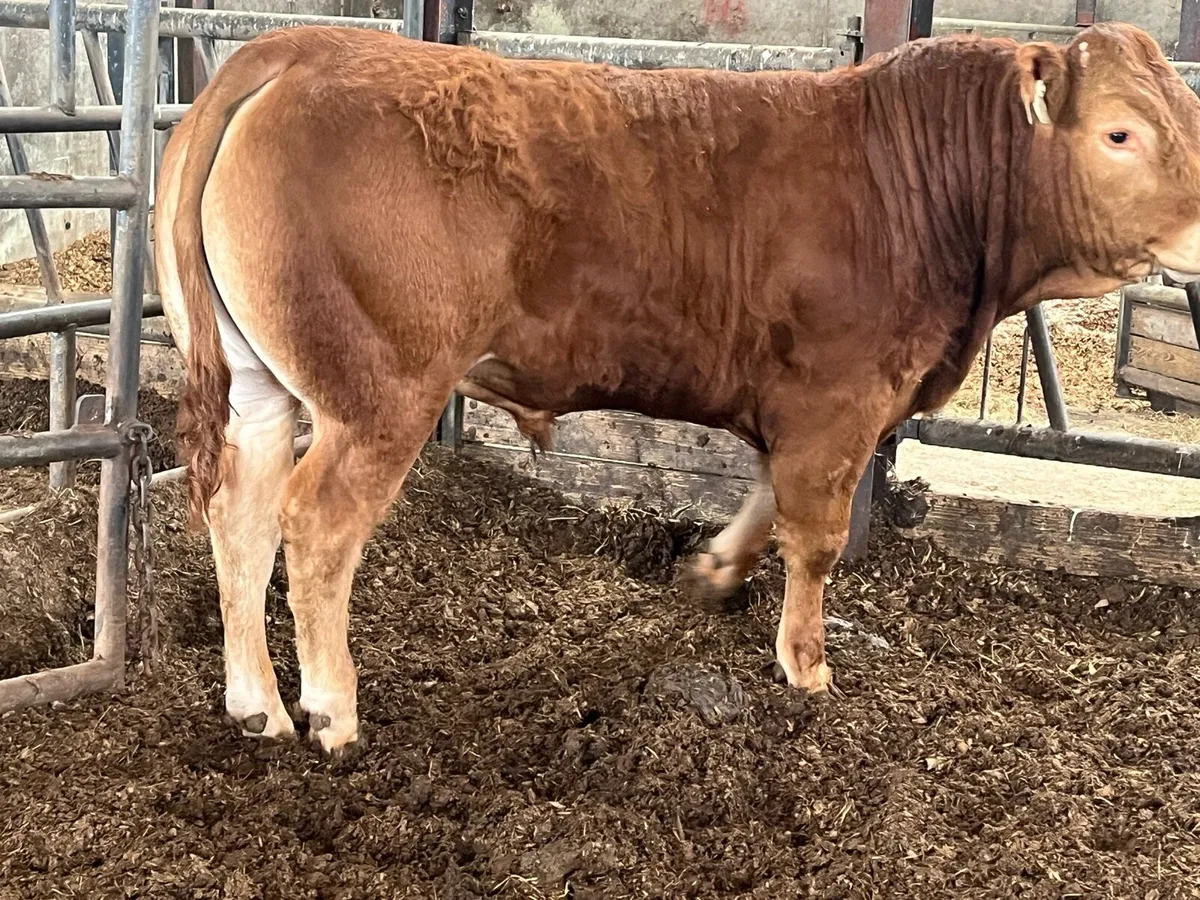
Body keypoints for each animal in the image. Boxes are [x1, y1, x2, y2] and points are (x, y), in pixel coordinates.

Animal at [155, 22, 1200, 754]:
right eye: (1120, 132)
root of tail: (302, 46)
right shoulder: (839, 400)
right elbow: (816, 537)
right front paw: (807, 669)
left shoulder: (789, 403)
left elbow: (765, 496)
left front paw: (713, 569)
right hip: (382, 392)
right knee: (316, 524)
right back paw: (330, 710)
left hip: (260, 387)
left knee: (239, 512)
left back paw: (256, 705)